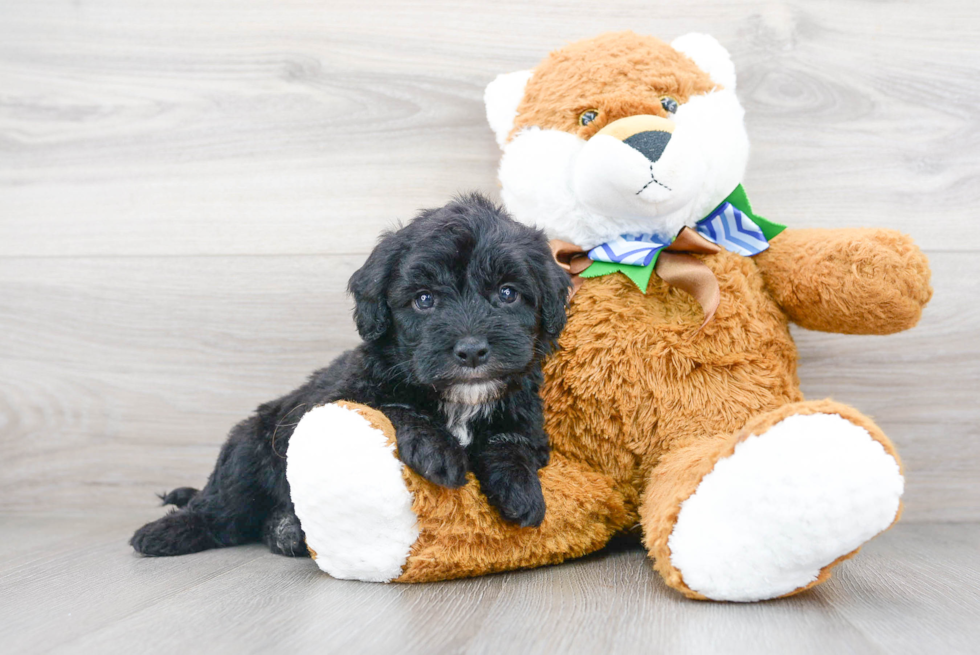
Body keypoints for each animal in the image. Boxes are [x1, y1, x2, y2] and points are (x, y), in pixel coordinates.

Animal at [134, 193, 572, 560]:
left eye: (508, 293)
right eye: (424, 300)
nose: (472, 350)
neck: (460, 401)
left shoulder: (526, 419)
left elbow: (510, 441)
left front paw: (520, 490)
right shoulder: (336, 401)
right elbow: (393, 408)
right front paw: (438, 450)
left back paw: (285, 530)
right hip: (249, 447)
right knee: (223, 507)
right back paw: (170, 532)